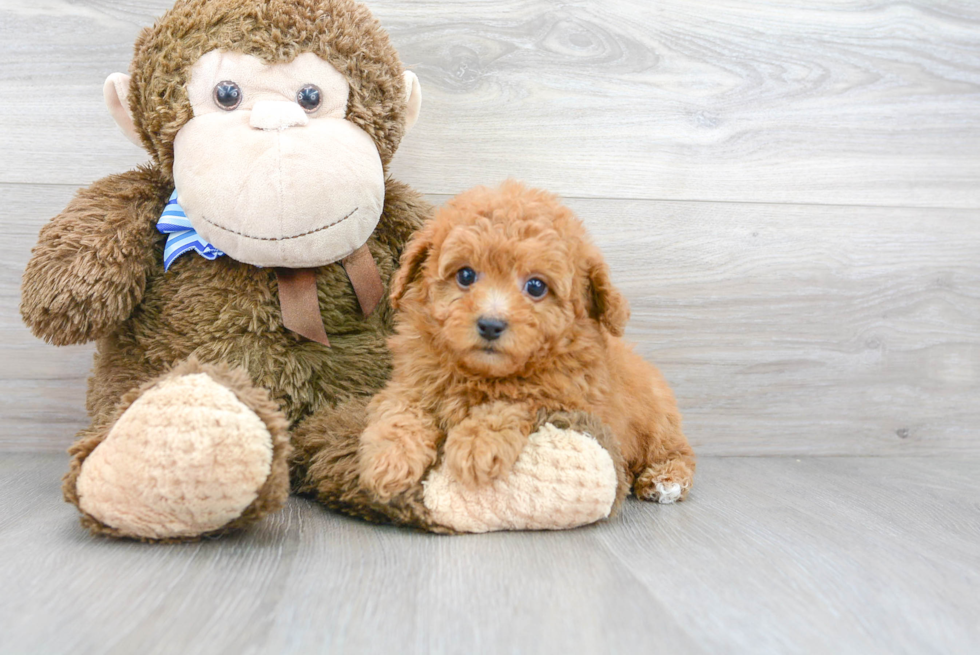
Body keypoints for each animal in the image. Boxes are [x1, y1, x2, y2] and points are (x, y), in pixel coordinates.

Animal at [356, 182, 692, 504]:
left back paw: (665, 481)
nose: (491, 325)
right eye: (465, 275)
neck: (481, 373)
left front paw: (477, 444)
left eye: (536, 286)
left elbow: (516, 398)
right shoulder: (411, 382)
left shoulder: (569, 399)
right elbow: (400, 411)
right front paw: (390, 460)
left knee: (677, 451)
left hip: (658, 424)